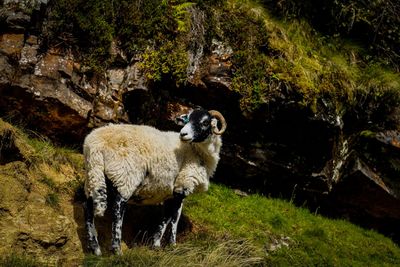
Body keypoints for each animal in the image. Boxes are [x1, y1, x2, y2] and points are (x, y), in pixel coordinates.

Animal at [83, 108, 227, 255]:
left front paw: (156, 244)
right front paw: (171, 245)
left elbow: (167, 217)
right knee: (117, 210)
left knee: (88, 207)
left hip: (94, 175)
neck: (197, 151)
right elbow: (174, 217)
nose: (183, 134)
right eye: (187, 119)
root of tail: (95, 144)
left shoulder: (172, 192)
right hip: (125, 175)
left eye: (205, 122)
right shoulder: (183, 185)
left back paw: (95, 248)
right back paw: (117, 249)